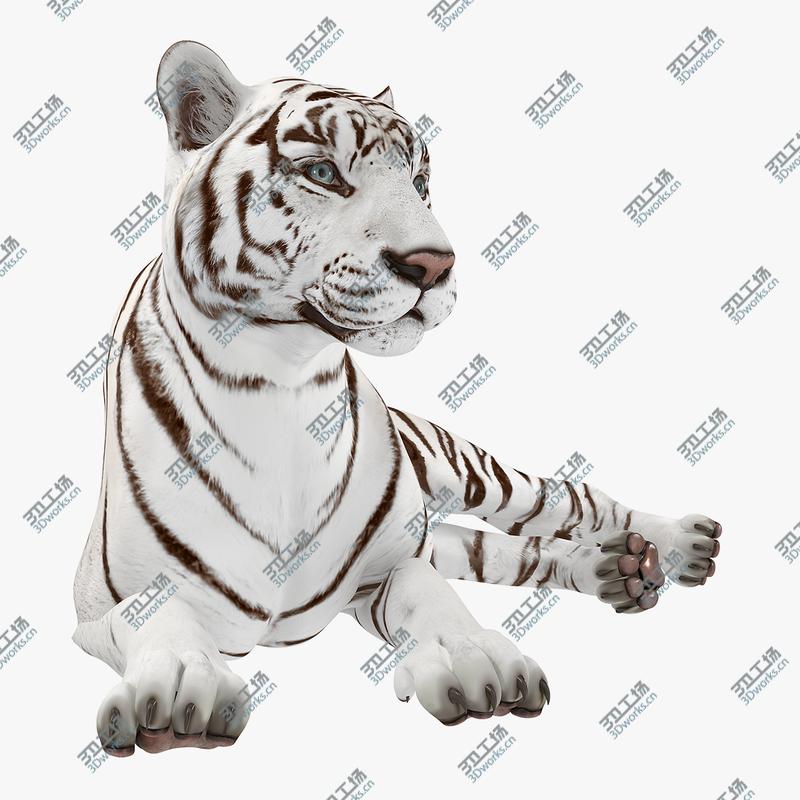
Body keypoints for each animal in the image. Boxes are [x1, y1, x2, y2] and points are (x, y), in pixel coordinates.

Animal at [72, 40, 722, 756]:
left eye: (419, 181)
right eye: (323, 172)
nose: (435, 265)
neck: (281, 383)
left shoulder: (389, 565)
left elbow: (429, 593)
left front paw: (474, 657)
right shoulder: (100, 602)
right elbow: (155, 617)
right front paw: (183, 685)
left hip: (471, 472)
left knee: (565, 500)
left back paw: (675, 542)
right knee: (504, 551)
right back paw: (617, 571)